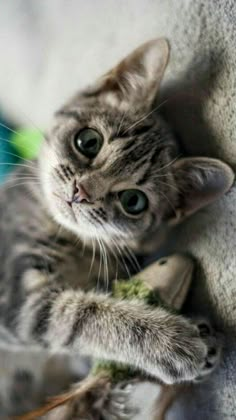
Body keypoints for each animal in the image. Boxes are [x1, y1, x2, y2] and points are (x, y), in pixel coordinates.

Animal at [0, 38, 233, 416]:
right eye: (88, 141)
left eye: (133, 201)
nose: (79, 193)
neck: (75, 245)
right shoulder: (15, 296)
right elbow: (80, 314)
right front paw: (169, 341)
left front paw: (203, 337)